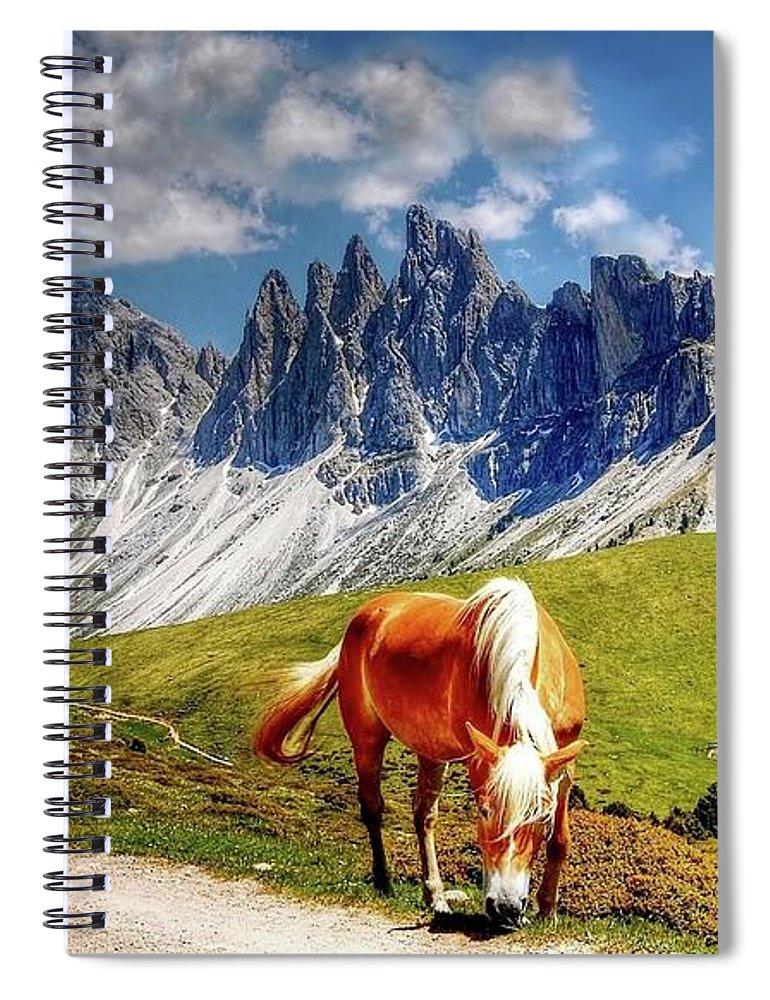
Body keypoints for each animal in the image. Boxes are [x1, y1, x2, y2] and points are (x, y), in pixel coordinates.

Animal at [253, 577, 586, 930]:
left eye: (542, 818)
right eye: (483, 811)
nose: (505, 908)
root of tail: (366, 613)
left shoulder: (565, 765)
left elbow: (560, 840)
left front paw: (547, 909)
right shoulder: (477, 761)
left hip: (431, 752)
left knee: (423, 815)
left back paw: (434, 895)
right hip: (367, 738)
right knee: (373, 807)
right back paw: (384, 881)